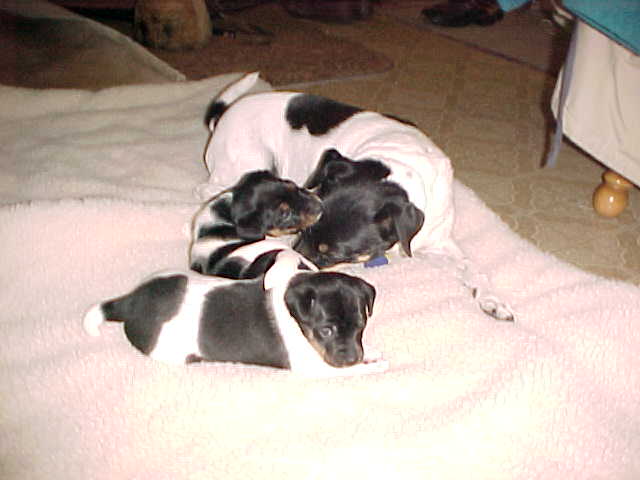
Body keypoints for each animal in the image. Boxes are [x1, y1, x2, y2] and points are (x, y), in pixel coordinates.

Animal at [82, 249, 388, 376]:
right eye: (326, 330)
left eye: (360, 326)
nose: (352, 357)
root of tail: (130, 302)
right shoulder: (314, 367)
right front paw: (373, 365)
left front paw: (372, 353)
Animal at [195, 72, 516, 322]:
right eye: (305, 232)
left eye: (333, 253)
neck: (397, 169)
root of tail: (223, 116)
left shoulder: (437, 241)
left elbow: (473, 267)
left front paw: (493, 299)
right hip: (248, 161)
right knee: (211, 190)